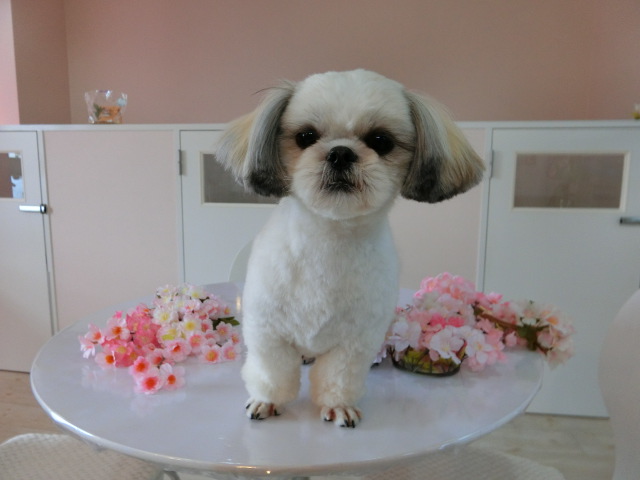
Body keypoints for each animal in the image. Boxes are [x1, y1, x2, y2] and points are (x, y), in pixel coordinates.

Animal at [215, 69, 484, 427]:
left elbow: (339, 376)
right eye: (306, 136)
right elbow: (272, 372)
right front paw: (267, 401)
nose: (340, 153)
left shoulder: (356, 340)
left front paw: (338, 405)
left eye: (381, 141)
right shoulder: (267, 330)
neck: (329, 240)